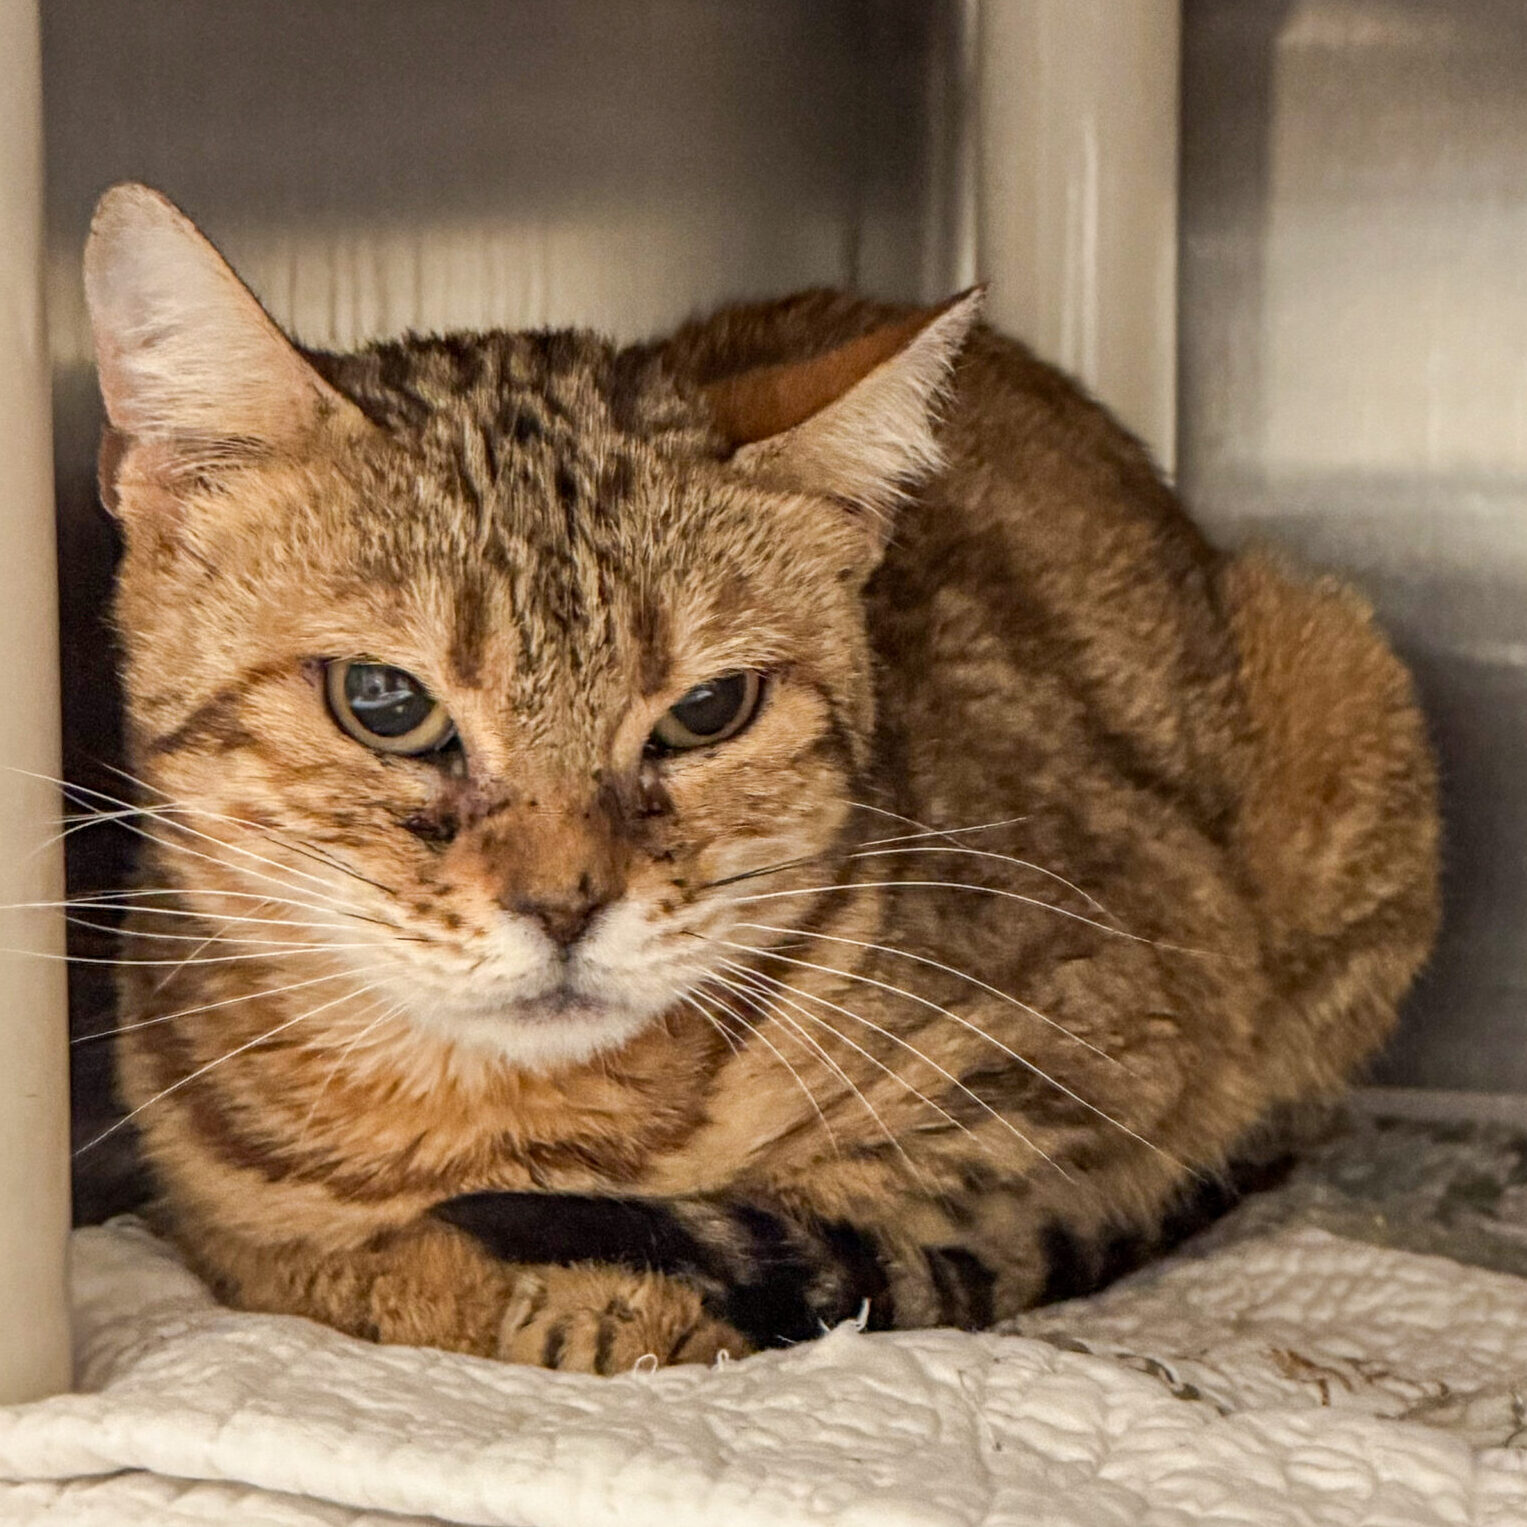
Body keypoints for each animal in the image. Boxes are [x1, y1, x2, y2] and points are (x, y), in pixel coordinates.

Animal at [82, 182, 1439, 1373]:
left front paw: (598, 1295)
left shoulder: (1110, 1047)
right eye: (384, 702)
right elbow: (310, 1258)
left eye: (706, 710)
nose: (567, 904)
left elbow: (876, 1195)